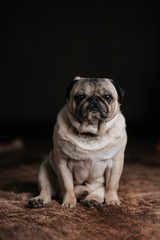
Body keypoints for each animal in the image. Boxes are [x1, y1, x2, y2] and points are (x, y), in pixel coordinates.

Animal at [28, 76, 126, 208]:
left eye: (107, 96)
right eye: (80, 96)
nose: (94, 99)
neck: (91, 134)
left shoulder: (115, 164)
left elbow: (111, 186)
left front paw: (112, 200)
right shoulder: (63, 164)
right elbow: (68, 186)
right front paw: (69, 201)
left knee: (97, 192)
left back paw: (92, 200)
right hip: (44, 169)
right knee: (48, 191)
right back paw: (39, 200)